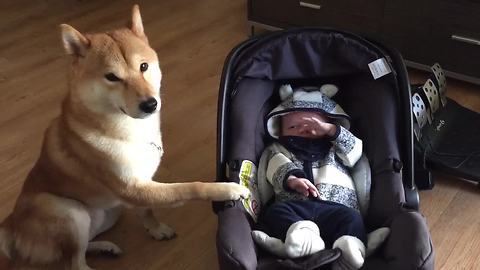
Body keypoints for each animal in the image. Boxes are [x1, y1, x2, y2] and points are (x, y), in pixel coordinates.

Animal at [0, 4, 248, 270]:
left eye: (143, 67)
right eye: (112, 77)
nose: (150, 104)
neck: (130, 130)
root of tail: (10, 226)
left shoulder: (138, 190)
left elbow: (146, 211)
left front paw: (156, 229)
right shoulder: (134, 189)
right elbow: (190, 188)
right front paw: (227, 189)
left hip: (108, 213)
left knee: (83, 248)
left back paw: (105, 247)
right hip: (70, 212)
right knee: (73, 262)